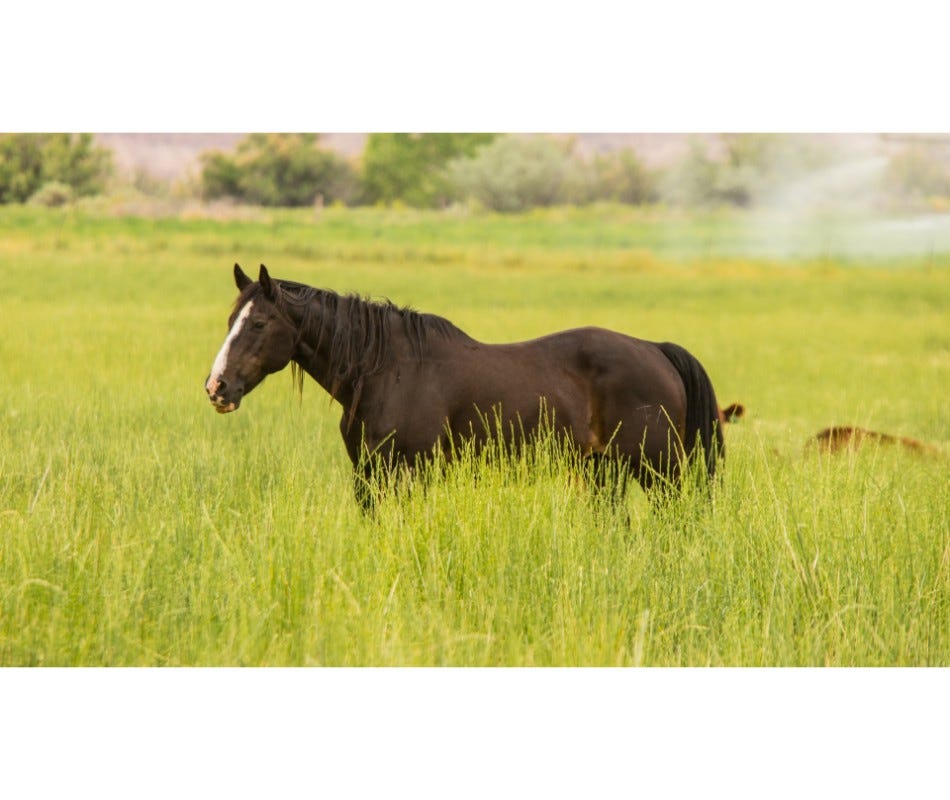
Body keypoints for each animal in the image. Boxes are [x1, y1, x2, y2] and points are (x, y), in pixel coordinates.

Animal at [205, 266, 728, 510]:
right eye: (231, 321)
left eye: (259, 324)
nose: (217, 386)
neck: (385, 370)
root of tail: (655, 349)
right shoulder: (368, 475)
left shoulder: (410, 473)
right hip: (603, 471)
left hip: (659, 471)